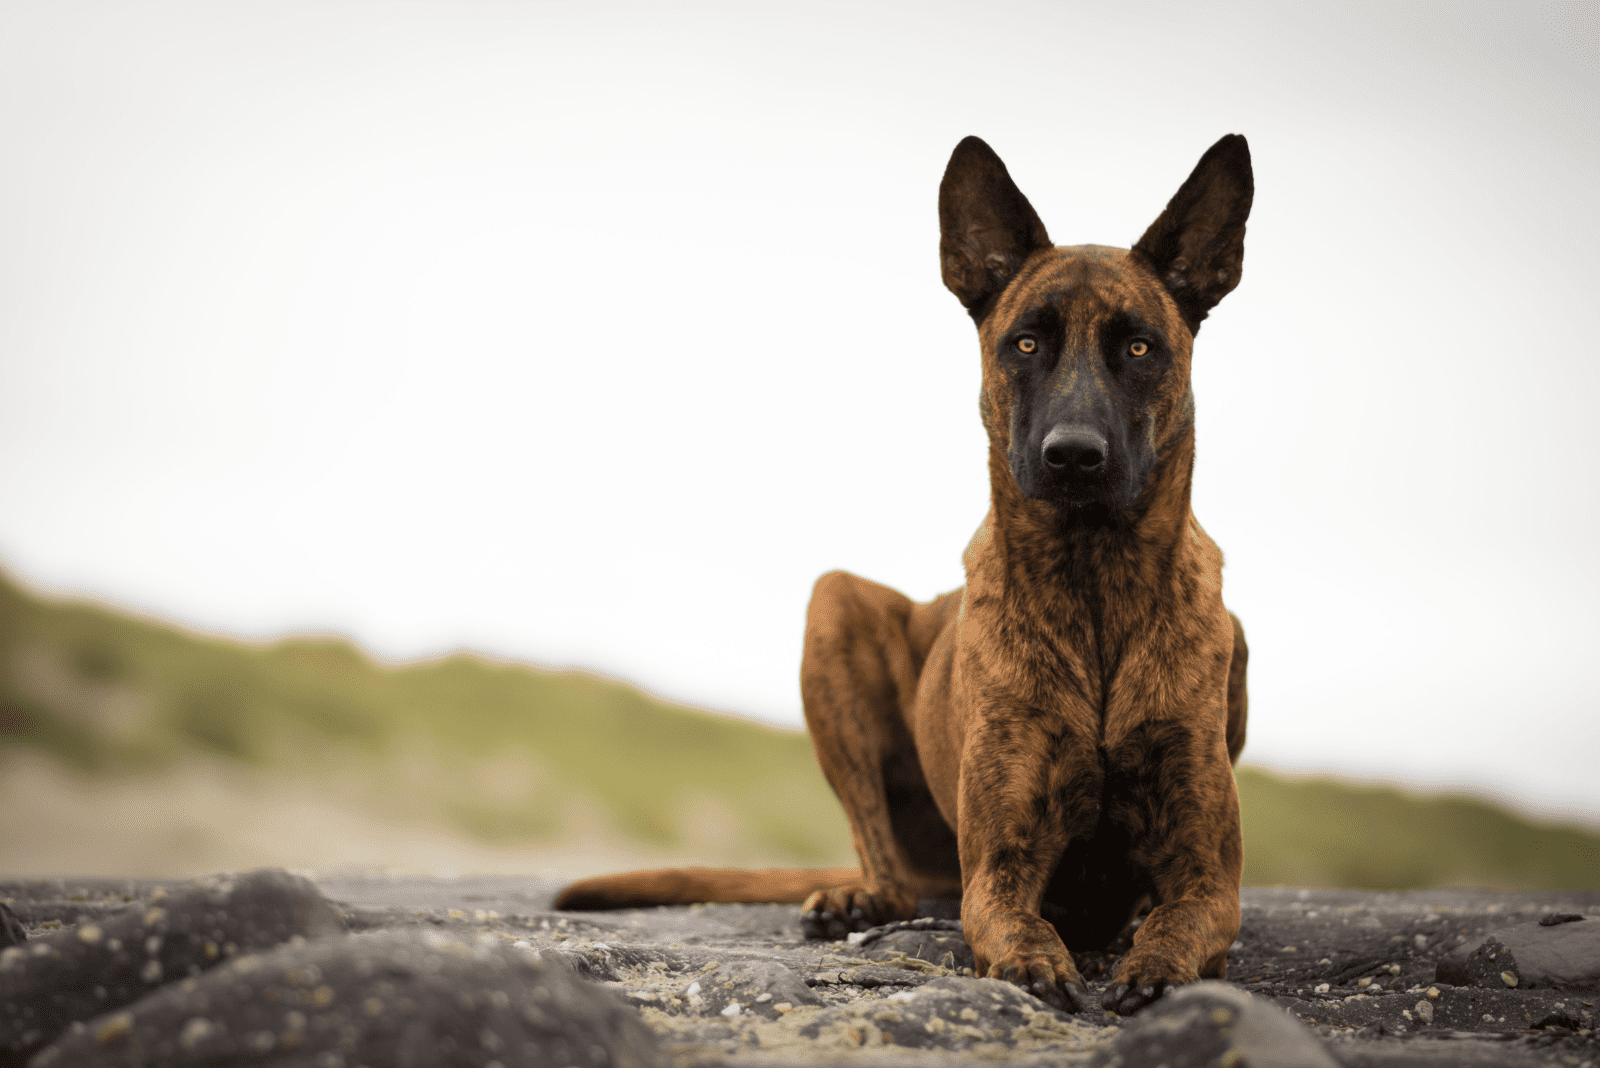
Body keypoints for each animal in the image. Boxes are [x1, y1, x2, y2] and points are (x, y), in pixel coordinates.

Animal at [556, 133, 1254, 1016]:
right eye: (1026, 343)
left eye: (1139, 347)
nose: (1073, 456)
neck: (1094, 580)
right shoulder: (997, 868)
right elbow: (1013, 922)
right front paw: (1037, 962)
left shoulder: (1207, 872)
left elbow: (1185, 918)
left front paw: (1156, 959)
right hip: (836, 607)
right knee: (881, 858)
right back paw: (861, 895)